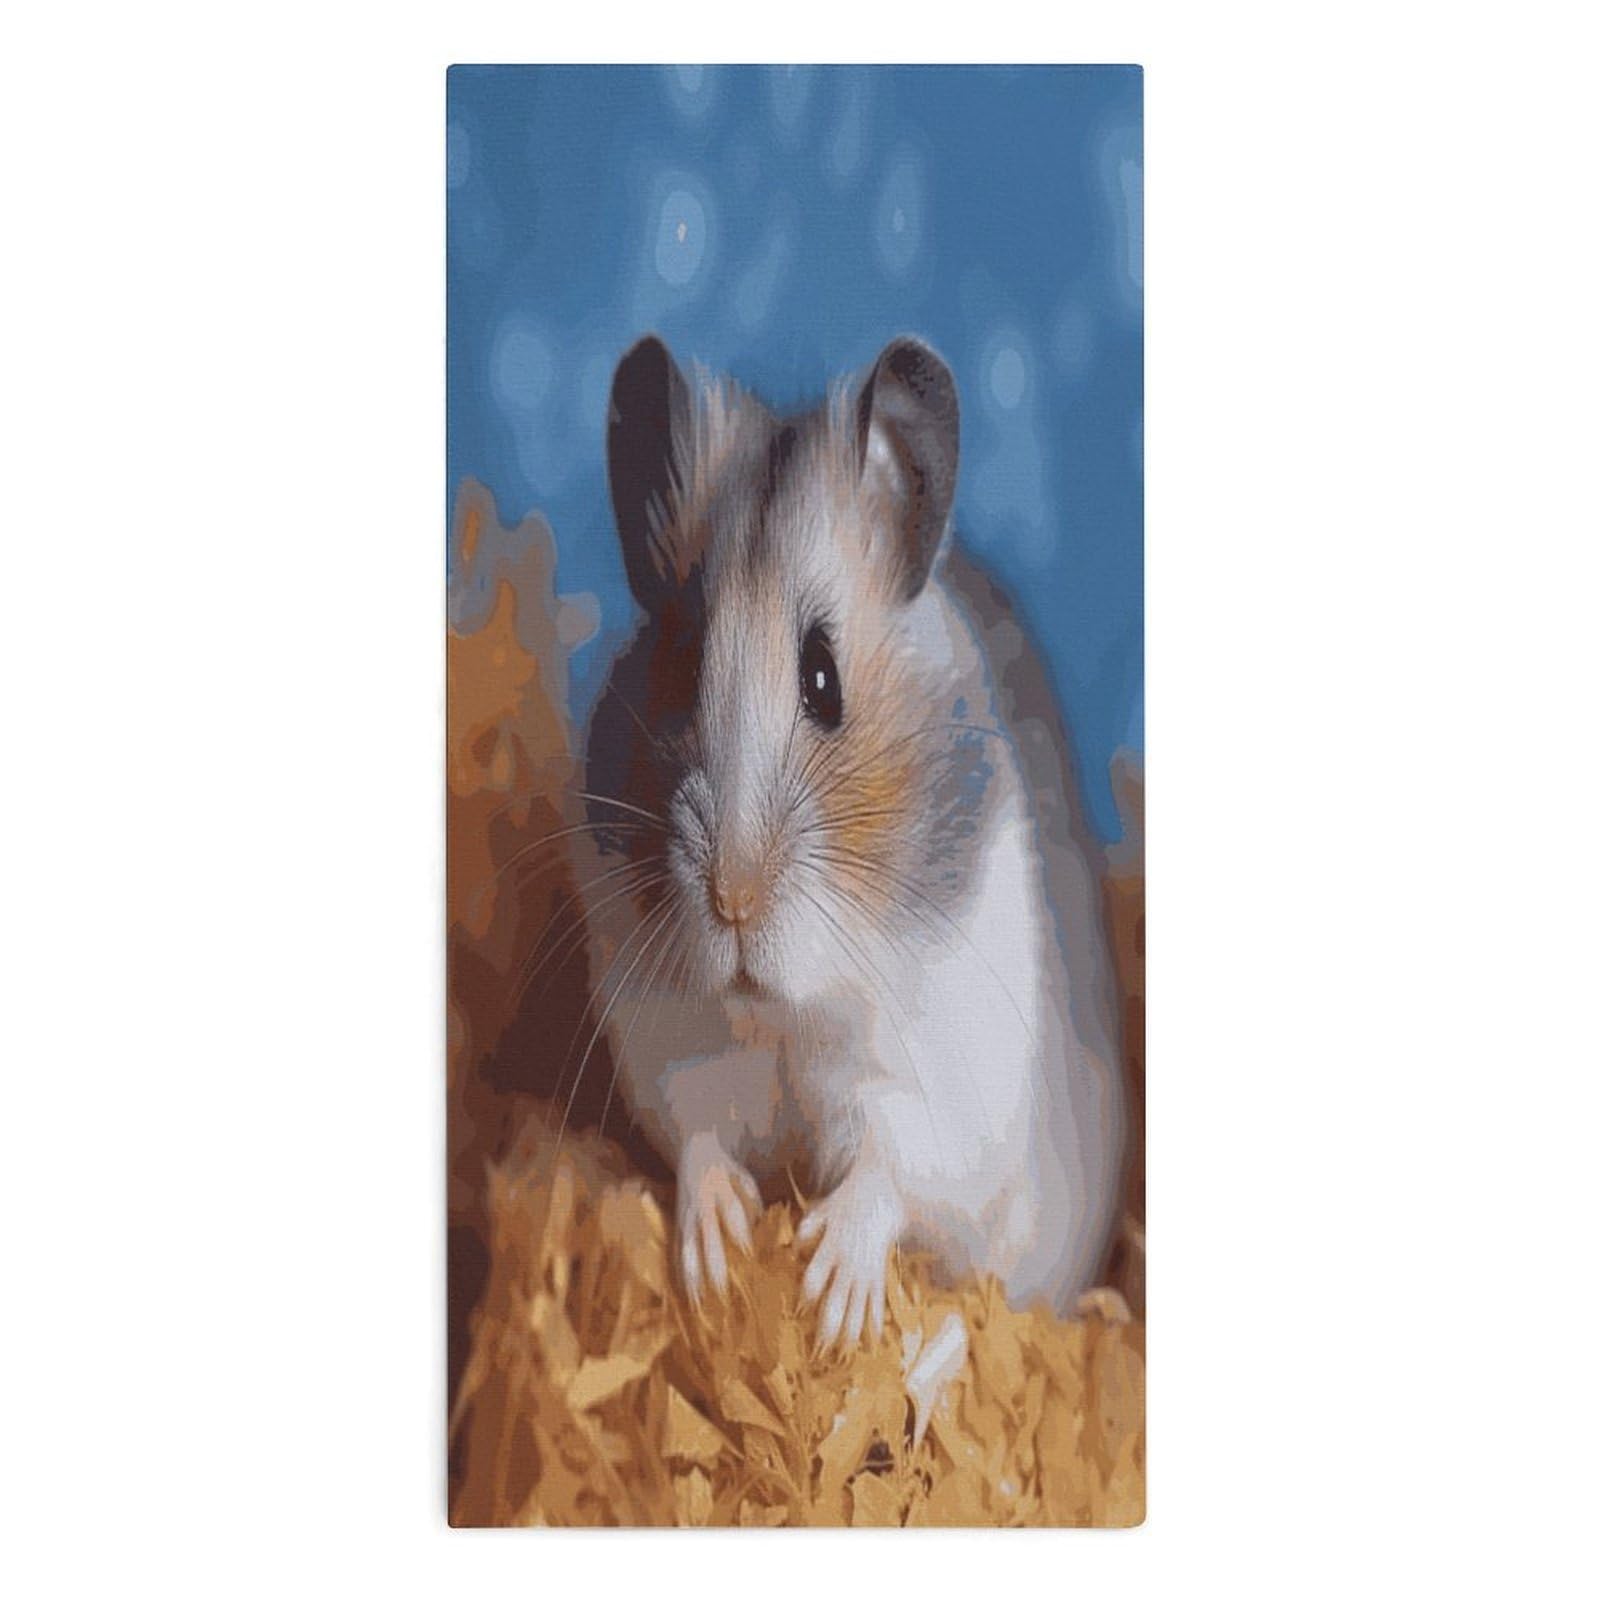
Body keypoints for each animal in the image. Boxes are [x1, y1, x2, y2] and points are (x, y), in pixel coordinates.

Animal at [573, 333, 1126, 1346]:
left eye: (823, 679)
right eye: (682, 664)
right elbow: (697, 1133)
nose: (732, 901)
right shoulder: (669, 1036)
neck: (791, 1012)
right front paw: (717, 1256)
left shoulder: (945, 1079)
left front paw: (828, 1299)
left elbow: (891, 1168)